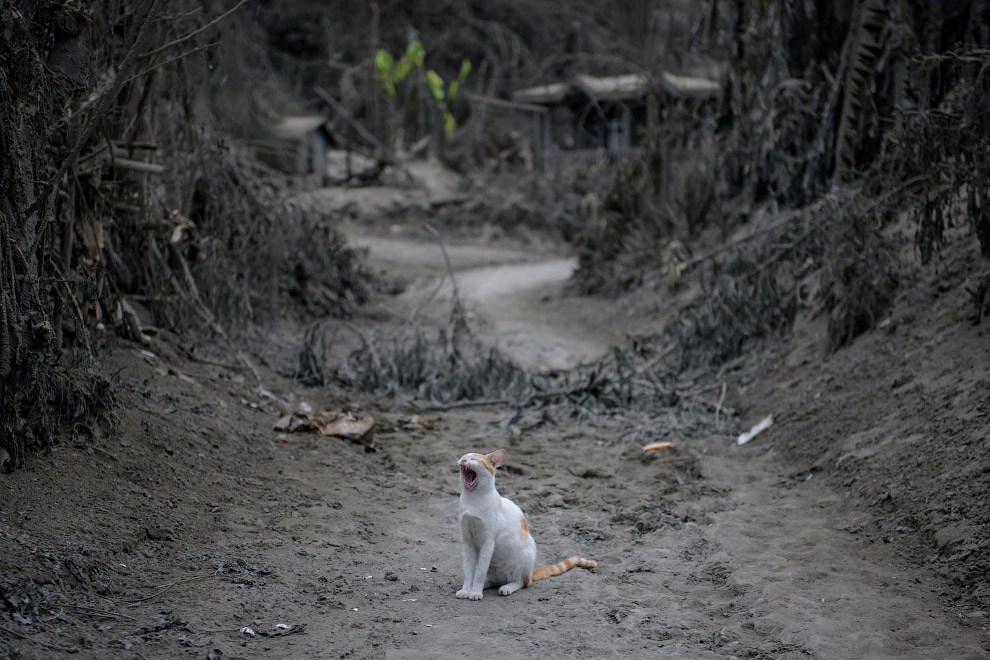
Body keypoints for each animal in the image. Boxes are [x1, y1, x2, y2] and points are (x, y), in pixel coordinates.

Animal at [458, 452, 596, 600]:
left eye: (473, 459)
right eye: (463, 456)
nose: (463, 460)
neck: (473, 499)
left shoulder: (488, 542)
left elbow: (480, 572)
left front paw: (475, 592)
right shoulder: (467, 542)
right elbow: (468, 571)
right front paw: (466, 590)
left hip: (525, 555)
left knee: (523, 582)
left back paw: (506, 587)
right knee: (495, 581)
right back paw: (486, 584)